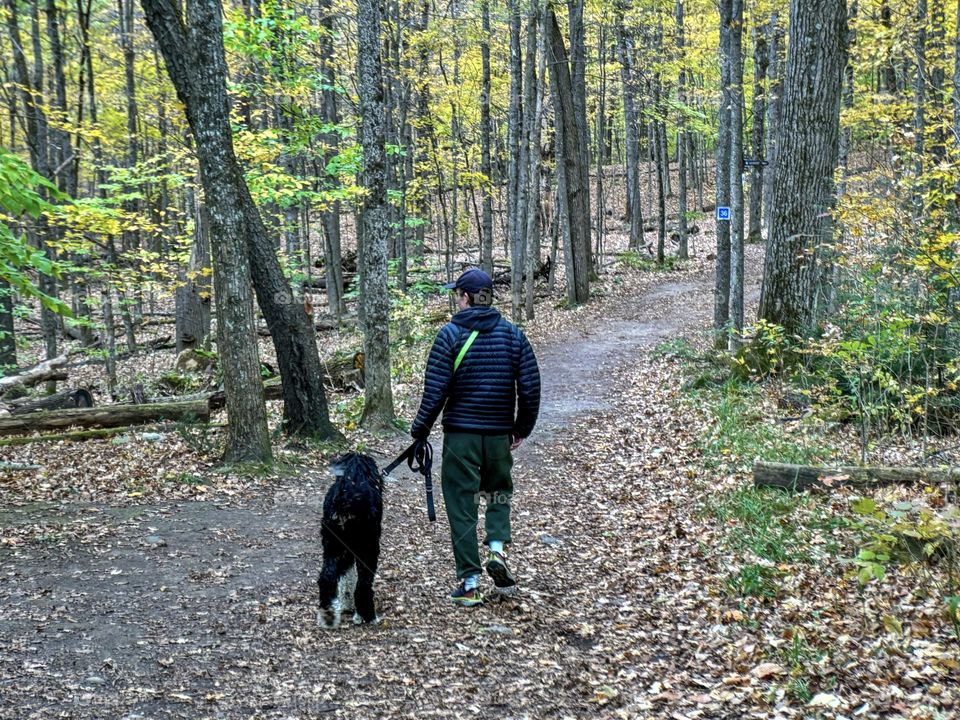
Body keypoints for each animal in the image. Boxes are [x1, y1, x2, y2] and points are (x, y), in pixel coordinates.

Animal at [318, 452, 386, 628]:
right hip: (368, 548)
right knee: (363, 586)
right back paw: (369, 615)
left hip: (332, 545)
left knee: (326, 577)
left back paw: (328, 613)